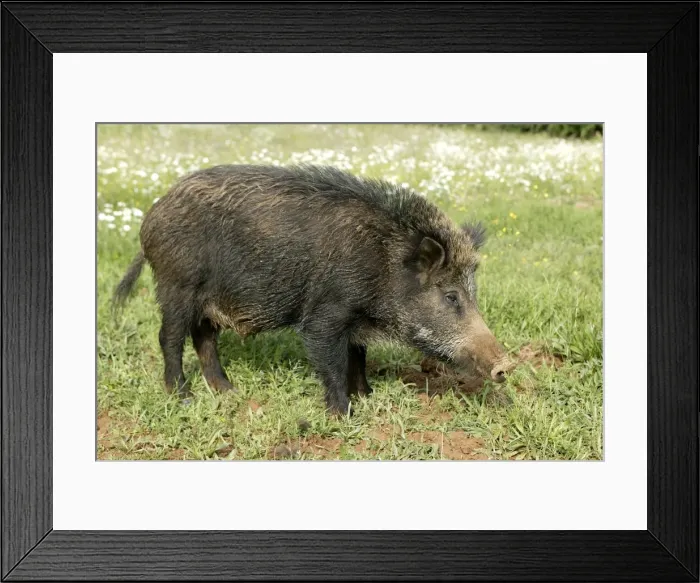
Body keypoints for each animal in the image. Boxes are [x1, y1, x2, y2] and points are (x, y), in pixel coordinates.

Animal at [113, 164, 513, 415]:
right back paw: (183, 397)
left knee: (204, 338)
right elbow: (332, 360)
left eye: (472, 291)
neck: (384, 263)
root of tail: (150, 217)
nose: (506, 364)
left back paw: (229, 391)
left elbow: (358, 356)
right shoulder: (327, 313)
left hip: (208, 299)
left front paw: (366, 396)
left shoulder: (356, 322)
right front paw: (344, 414)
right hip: (176, 284)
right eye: (450, 296)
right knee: (169, 337)